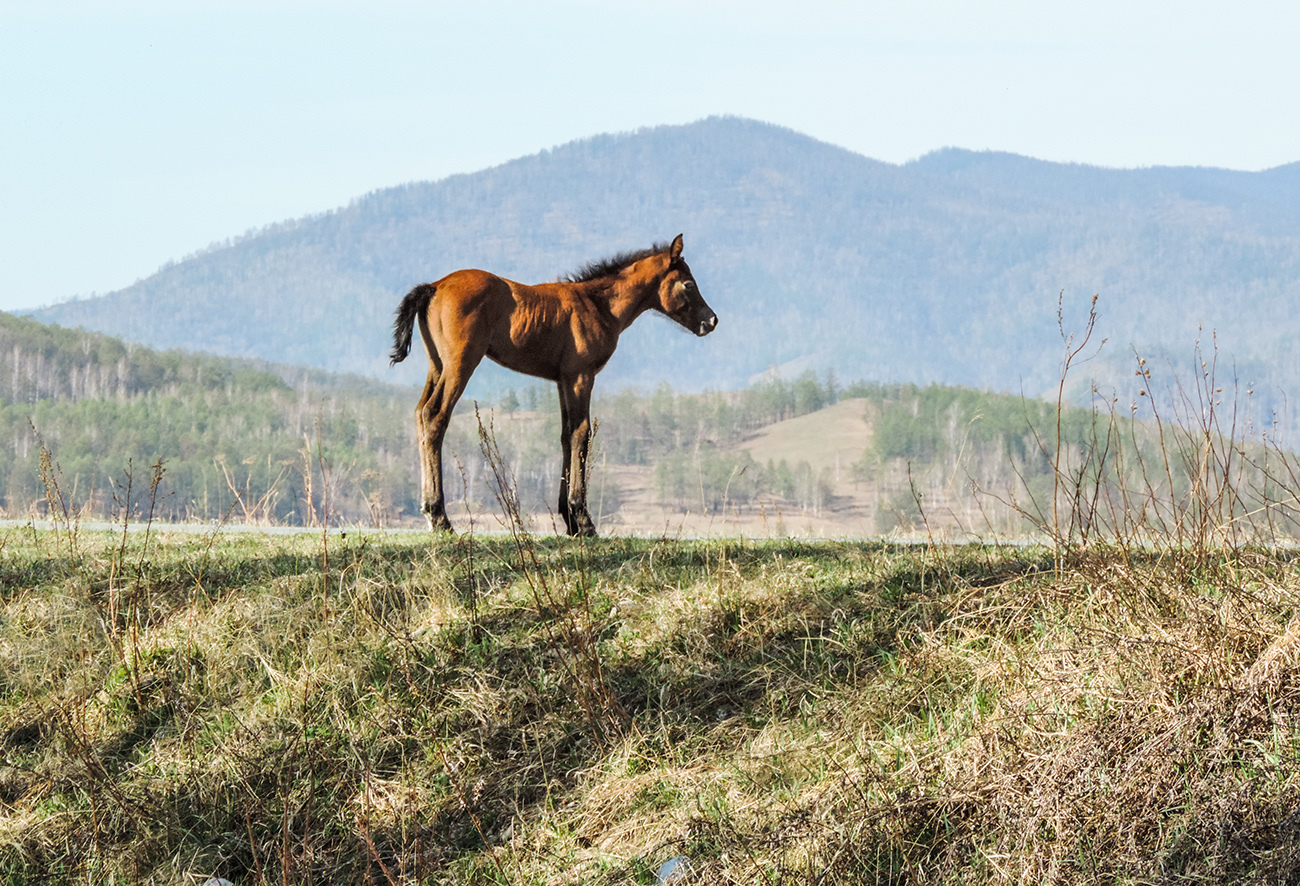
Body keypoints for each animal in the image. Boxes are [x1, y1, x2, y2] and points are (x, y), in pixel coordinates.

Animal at [390, 232, 717, 532]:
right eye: (688, 284)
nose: (711, 320)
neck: (598, 305)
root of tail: (434, 286)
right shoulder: (581, 376)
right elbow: (581, 434)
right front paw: (582, 519)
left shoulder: (562, 380)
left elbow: (565, 435)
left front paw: (569, 518)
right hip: (460, 364)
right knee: (435, 415)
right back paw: (439, 516)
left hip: (437, 365)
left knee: (420, 414)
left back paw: (430, 509)